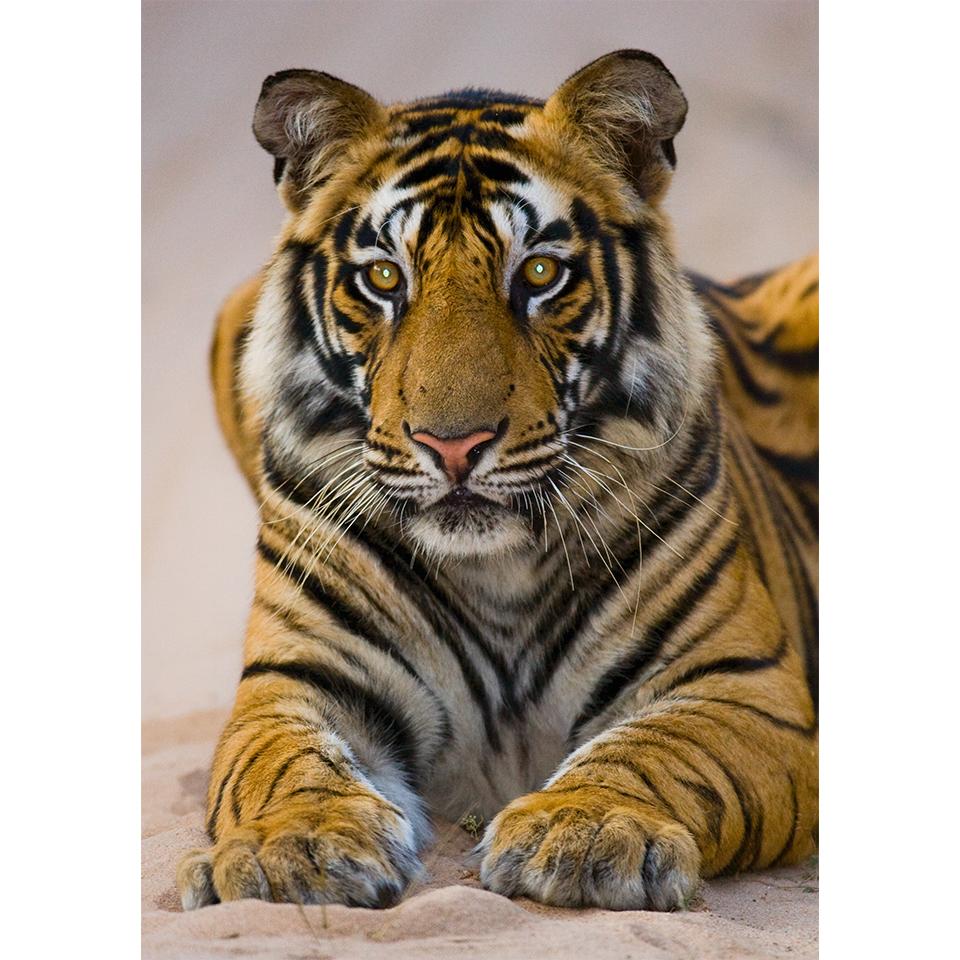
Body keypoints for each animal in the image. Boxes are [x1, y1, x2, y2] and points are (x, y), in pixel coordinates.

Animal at [177, 50, 818, 913]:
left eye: (539, 272)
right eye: (385, 278)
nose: (454, 446)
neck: (497, 573)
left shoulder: (741, 685)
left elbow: (661, 750)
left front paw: (584, 828)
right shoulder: (297, 679)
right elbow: (282, 765)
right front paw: (293, 847)